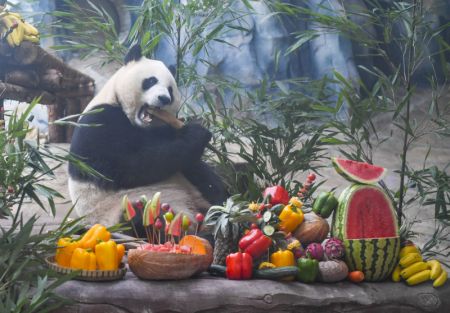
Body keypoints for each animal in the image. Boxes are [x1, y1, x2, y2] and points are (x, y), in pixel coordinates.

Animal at [68, 44, 227, 227]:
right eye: (151, 81)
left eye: (170, 90)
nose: (164, 98)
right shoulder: (98, 122)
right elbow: (129, 165)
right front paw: (198, 131)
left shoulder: (164, 131)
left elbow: (186, 158)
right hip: (119, 207)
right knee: (140, 214)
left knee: (206, 183)